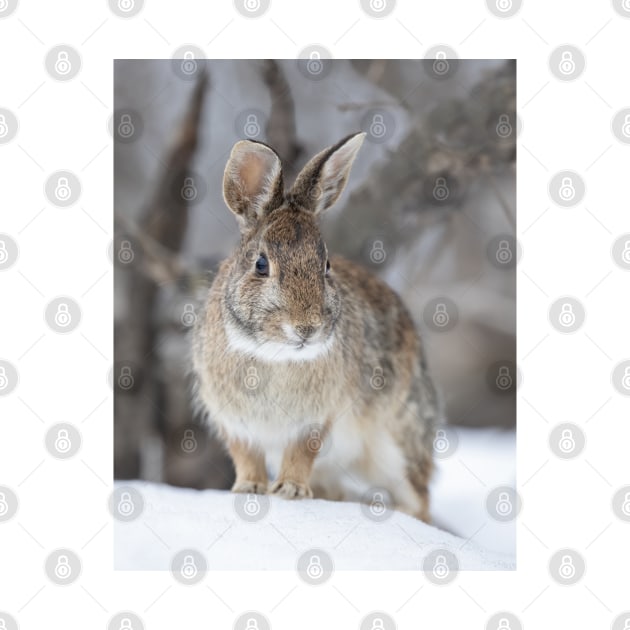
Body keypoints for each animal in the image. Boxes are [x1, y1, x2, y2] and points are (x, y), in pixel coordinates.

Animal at [193, 132, 440, 524]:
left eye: (325, 265)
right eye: (261, 265)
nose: (307, 327)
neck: (274, 354)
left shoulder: (314, 420)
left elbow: (301, 453)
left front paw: (291, 490)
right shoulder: (233, 420)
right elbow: (246, 456)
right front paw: (249, 488)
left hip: (395, 443)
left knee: (419, 497)